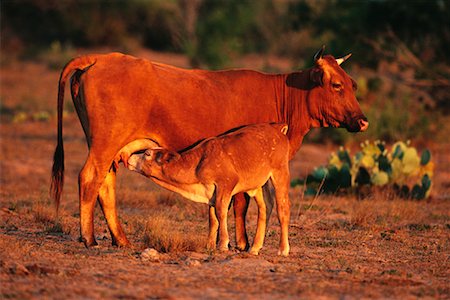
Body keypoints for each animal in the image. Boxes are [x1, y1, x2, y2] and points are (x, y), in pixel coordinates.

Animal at [116, 123, 290, 256]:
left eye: (147, 153)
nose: (129, 158)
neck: (198, 162)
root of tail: (277, 129)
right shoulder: (211, 193)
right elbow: (213, 218)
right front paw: (210, 245)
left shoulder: (225, 185)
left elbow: (221, 212)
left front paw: (222, 244)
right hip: (259, 185)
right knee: (265, 207)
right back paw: (254, 247)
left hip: (280, 173)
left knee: (282, 209)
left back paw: (283, 249)